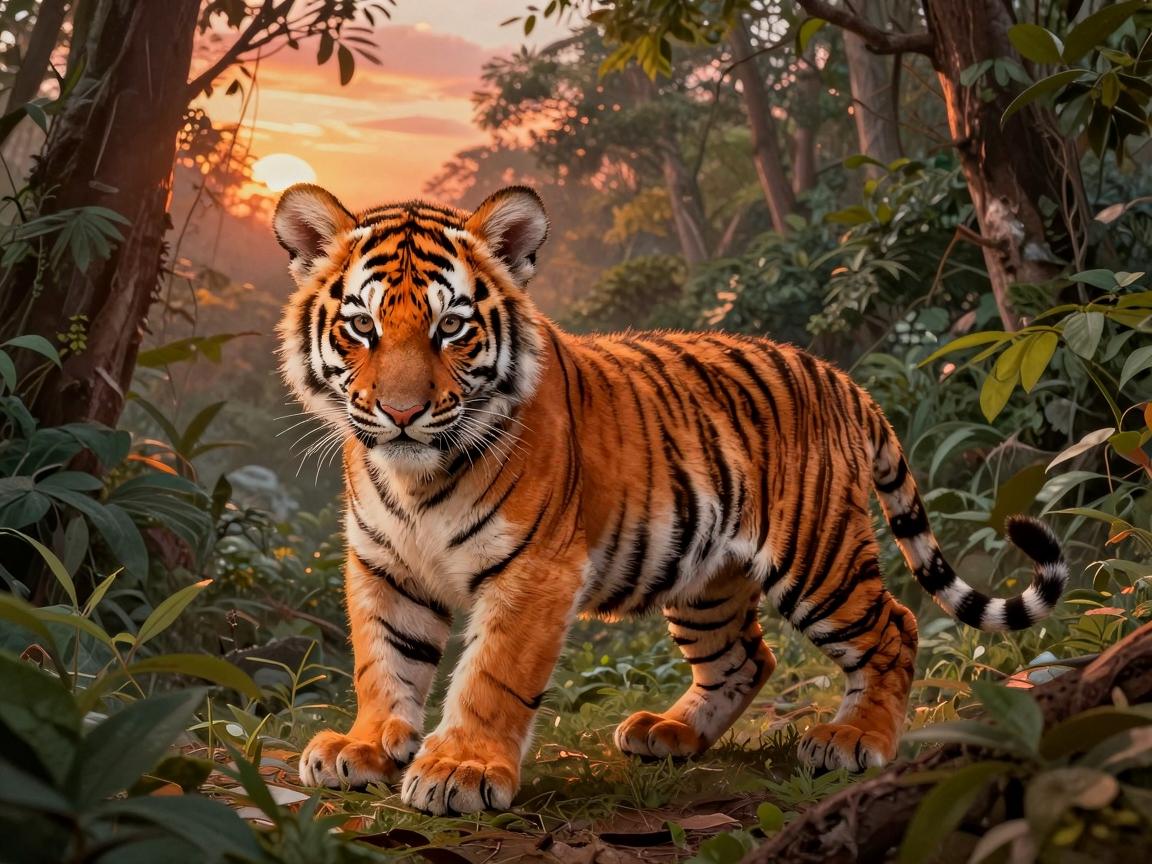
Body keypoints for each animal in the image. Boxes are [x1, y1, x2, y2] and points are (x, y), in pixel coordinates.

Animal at [273, 183, 1068, 816]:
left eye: (452, 327)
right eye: (362, 326)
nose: (402, 412)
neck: (417, 478)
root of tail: (839, 376)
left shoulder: (534, 570)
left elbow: (492, 673)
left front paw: (460, 768)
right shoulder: (384, 565)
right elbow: (384, 662)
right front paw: (364, 748)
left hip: (818, 556)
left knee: (894, 626)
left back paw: (853, 738)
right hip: (705, 579)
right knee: (746, 658)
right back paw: (669, 733)